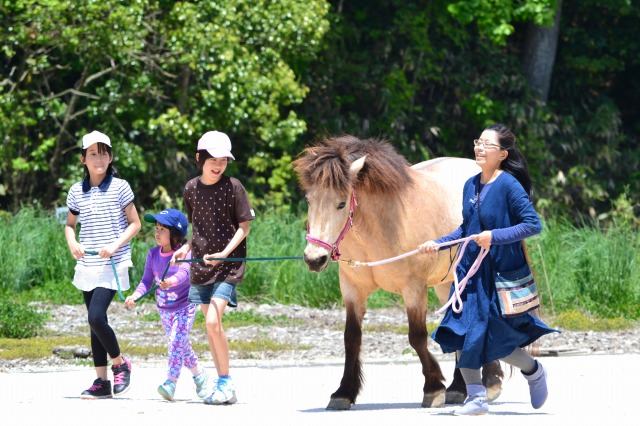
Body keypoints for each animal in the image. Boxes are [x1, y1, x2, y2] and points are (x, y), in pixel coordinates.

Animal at [294, 136, 504, 410]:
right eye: (309, 200)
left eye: (341, 203)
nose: (314, 258)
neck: (380, 228)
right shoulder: (352, 290)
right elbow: (351, 338)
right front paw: (343, 392)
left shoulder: (413, 289)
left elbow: (417, 337)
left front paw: (433, 387)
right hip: (448, 284)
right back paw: (460, 388)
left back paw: (490, 381)